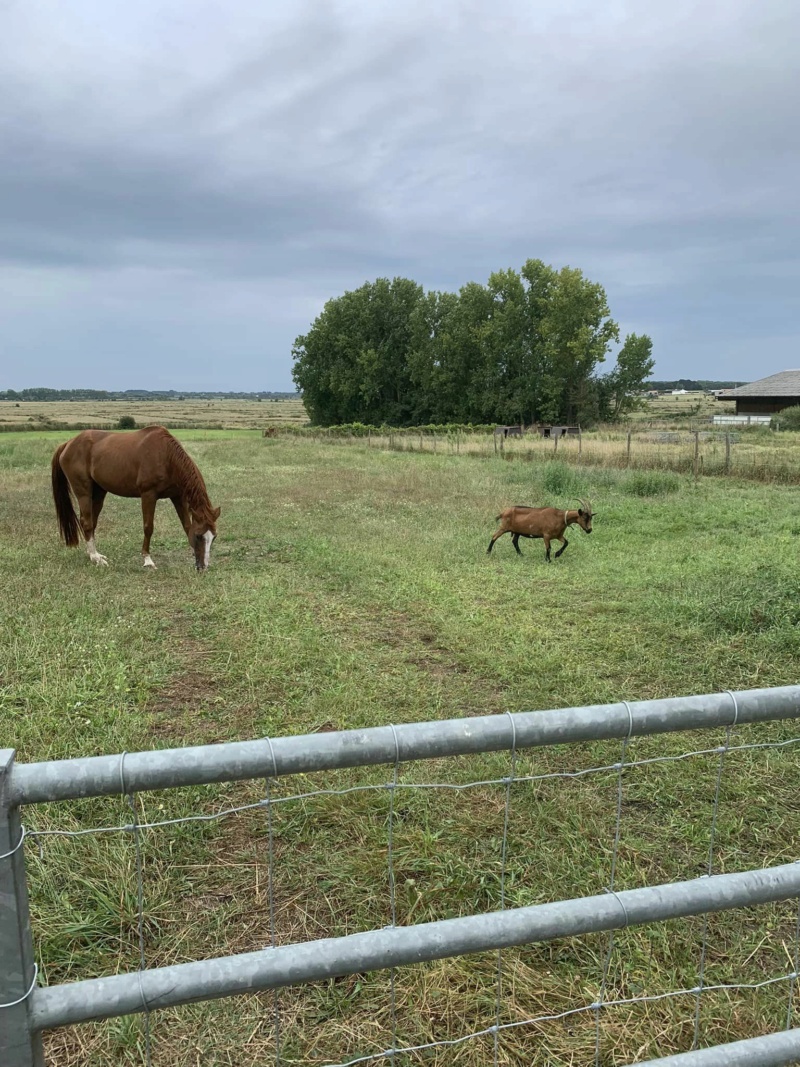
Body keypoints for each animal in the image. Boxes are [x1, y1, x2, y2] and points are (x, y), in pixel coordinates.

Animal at [51, 428, 220, 571]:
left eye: (213, 537)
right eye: (198, 535)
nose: (203, 567)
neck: (166, 456)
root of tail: (68, 444)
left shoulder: (177, 497)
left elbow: (186, 525)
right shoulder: (148, 495)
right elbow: (148, 527)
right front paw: (147, 559)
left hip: (99, 492)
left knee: (91, 522)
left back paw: (94, 554)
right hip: (83, 491)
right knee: (86, 522)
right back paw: (95, 558)